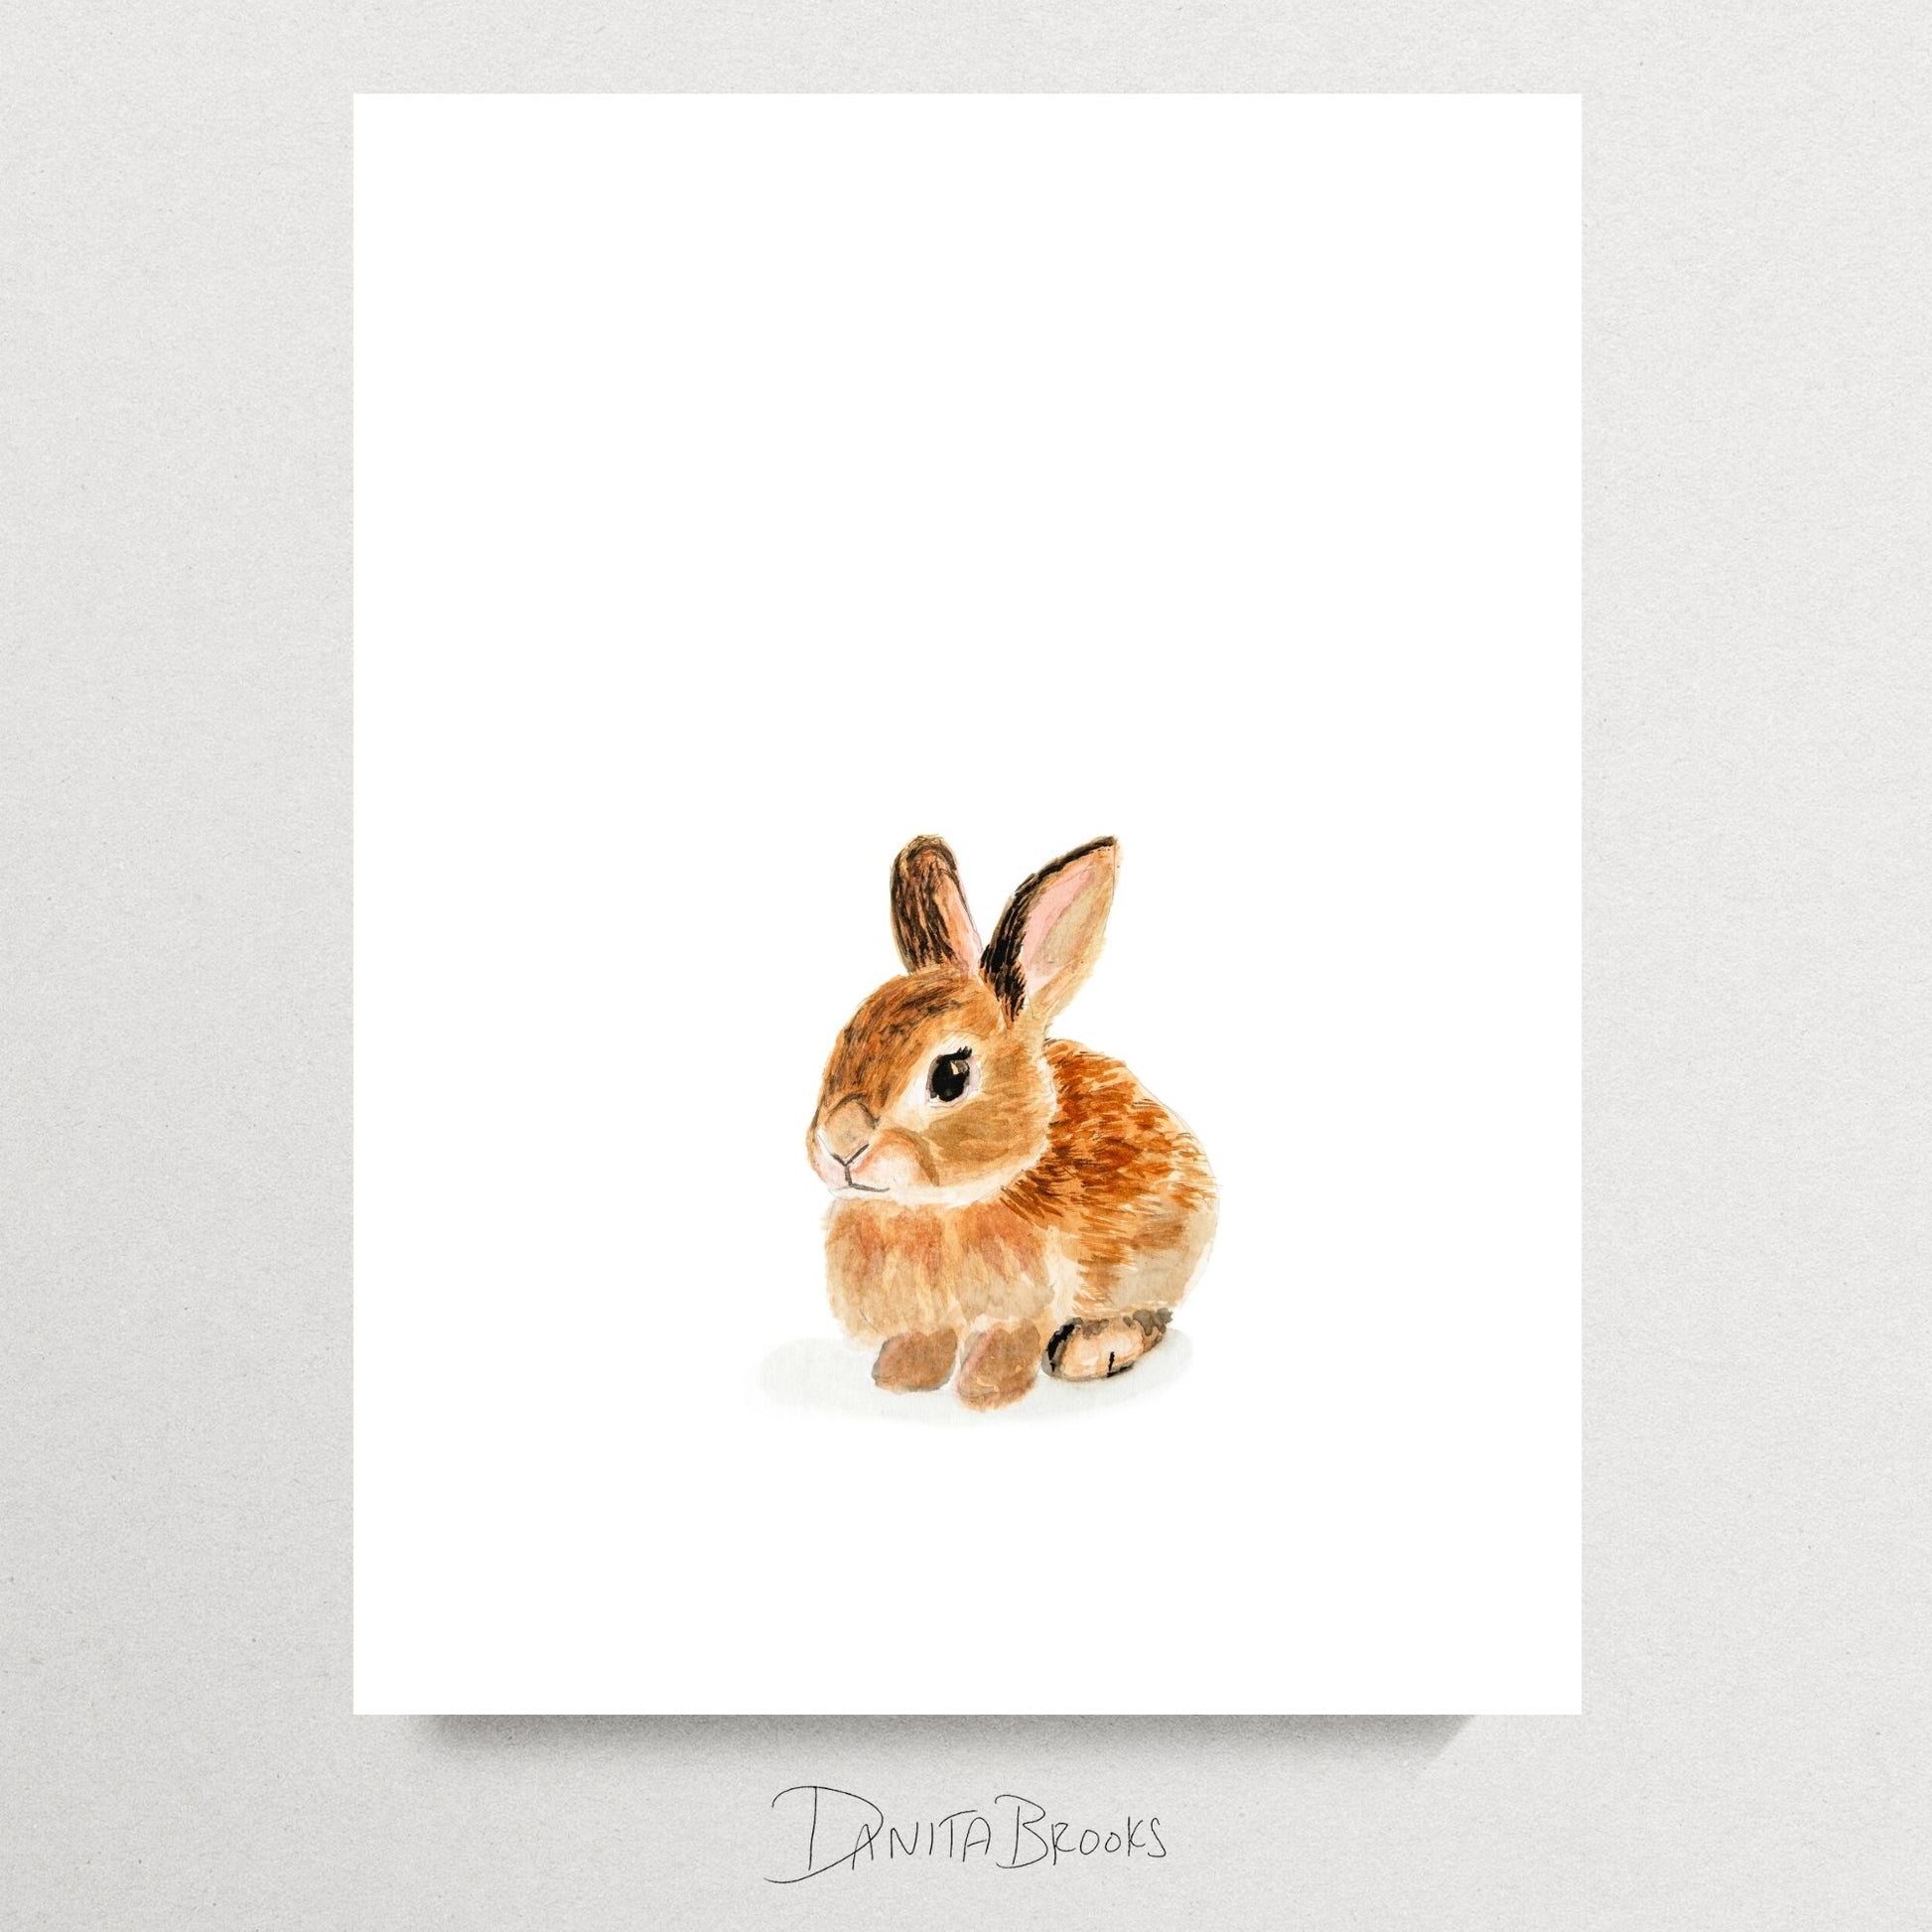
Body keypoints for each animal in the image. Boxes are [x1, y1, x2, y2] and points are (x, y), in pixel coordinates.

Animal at [806, 835, 1216, 1410]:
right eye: (846, 1037)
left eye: (951, 1076)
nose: (840, 1145)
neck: (941, 1207)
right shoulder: (926, 1319)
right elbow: (924, 1340)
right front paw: (901, 1380)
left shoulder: (1023, 1310)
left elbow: (1008, 1342)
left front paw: (986, 1394)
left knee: (1149, 1316)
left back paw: (1095, 1350)